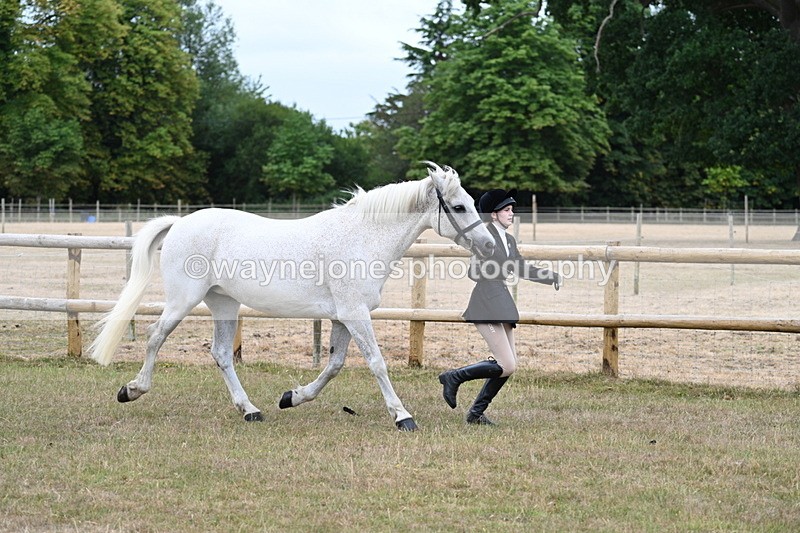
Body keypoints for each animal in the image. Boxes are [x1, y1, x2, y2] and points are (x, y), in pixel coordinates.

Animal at [89, 162, 495, 430]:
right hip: (183, 300)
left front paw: (292, 398)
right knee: (155, 337)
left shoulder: (342, 316)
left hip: (224, 303)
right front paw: (403, 416)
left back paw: (250, 410)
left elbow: (333, 365)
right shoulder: (355, 313)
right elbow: (377, 363)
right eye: (459, 206)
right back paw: (132, 390)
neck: (360, 238)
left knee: (221, 354)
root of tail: (180, 222)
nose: (489, 244)